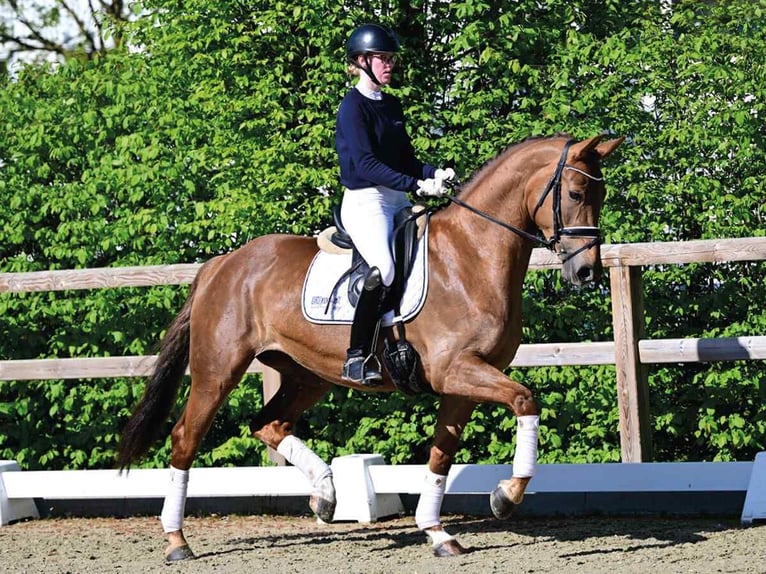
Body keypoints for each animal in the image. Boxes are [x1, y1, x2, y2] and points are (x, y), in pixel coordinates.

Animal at [117, 133, 624, 561]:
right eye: (576, 195)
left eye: (599, 197)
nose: (586, 274)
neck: (471, 255)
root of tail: (222, 264)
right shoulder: (456, 370)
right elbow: (525, 400)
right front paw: (505, 495)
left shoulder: (462, 382)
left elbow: (442, 454)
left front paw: (438, 533)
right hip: (218, 370)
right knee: (186, 438)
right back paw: (177, 541)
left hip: (306, 374)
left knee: (268, 423)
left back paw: (325, 495)